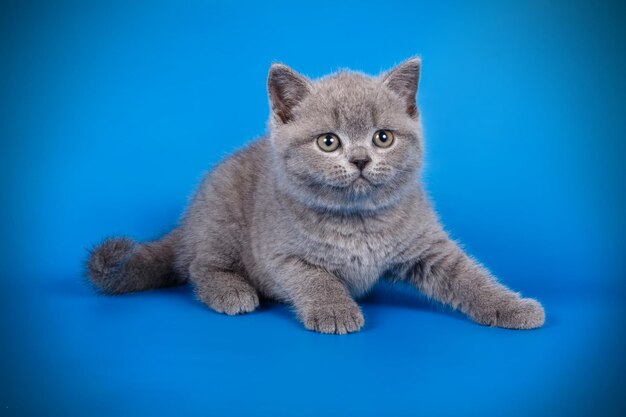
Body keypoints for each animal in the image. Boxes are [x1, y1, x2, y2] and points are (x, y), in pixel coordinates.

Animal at [86, 58, 540, 334]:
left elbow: (470, 276)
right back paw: (230, 291)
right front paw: (334, 310)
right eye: (328, 142)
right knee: (199, 265)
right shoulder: (281, 254)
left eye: (383, 137)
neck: (359, 220)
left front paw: (513, 307)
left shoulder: (429, 248)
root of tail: (189, 219)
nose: (360, 159)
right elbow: (315, 277)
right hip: (221, 220)